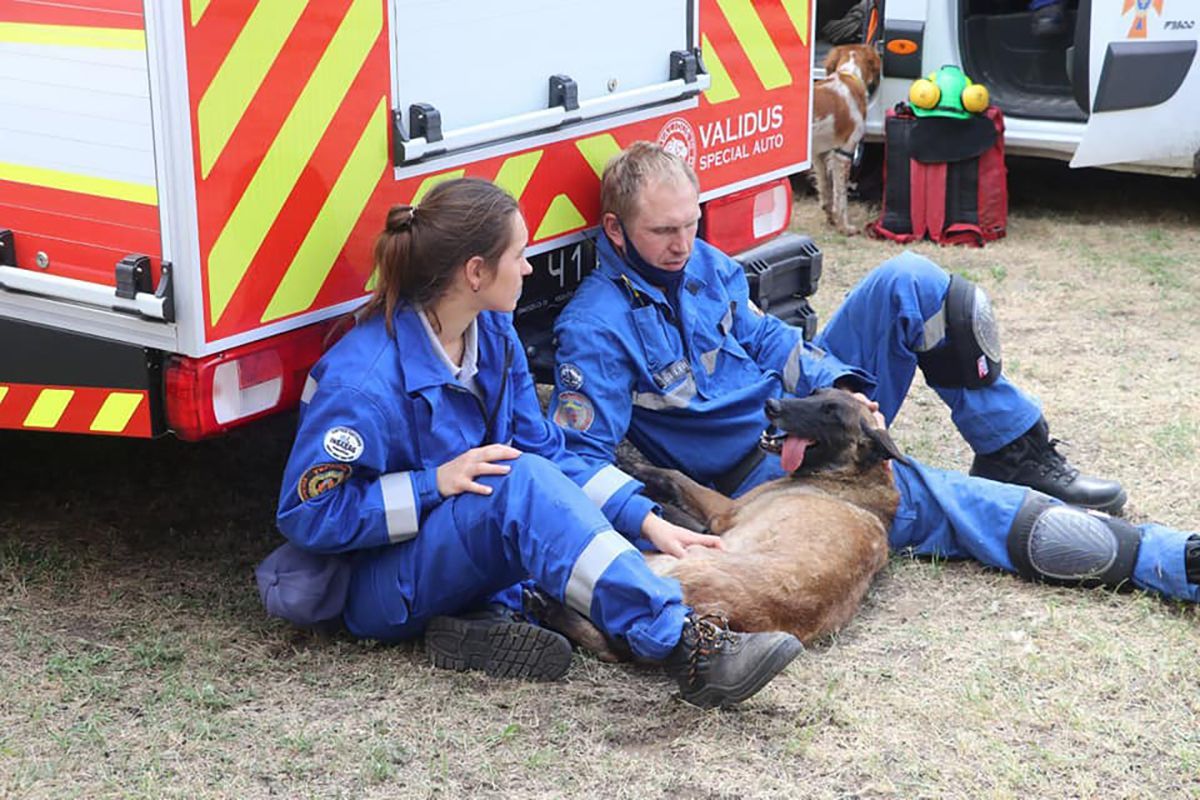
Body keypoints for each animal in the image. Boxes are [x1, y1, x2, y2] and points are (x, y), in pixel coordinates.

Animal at [530, 388, 902, 662]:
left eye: (831, 413)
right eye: (813, 393)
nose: (772, 405)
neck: (853, 474)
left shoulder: (722, 513)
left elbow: (675, 475)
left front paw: (630, 466)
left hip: (657, 560)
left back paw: (548, 604)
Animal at [806, 44, 883, 235]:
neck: (849, 75)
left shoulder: (818, 154)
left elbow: (826, 190)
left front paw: (830, 219)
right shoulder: (844, 153)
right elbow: (841, 196)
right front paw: (845, 226)